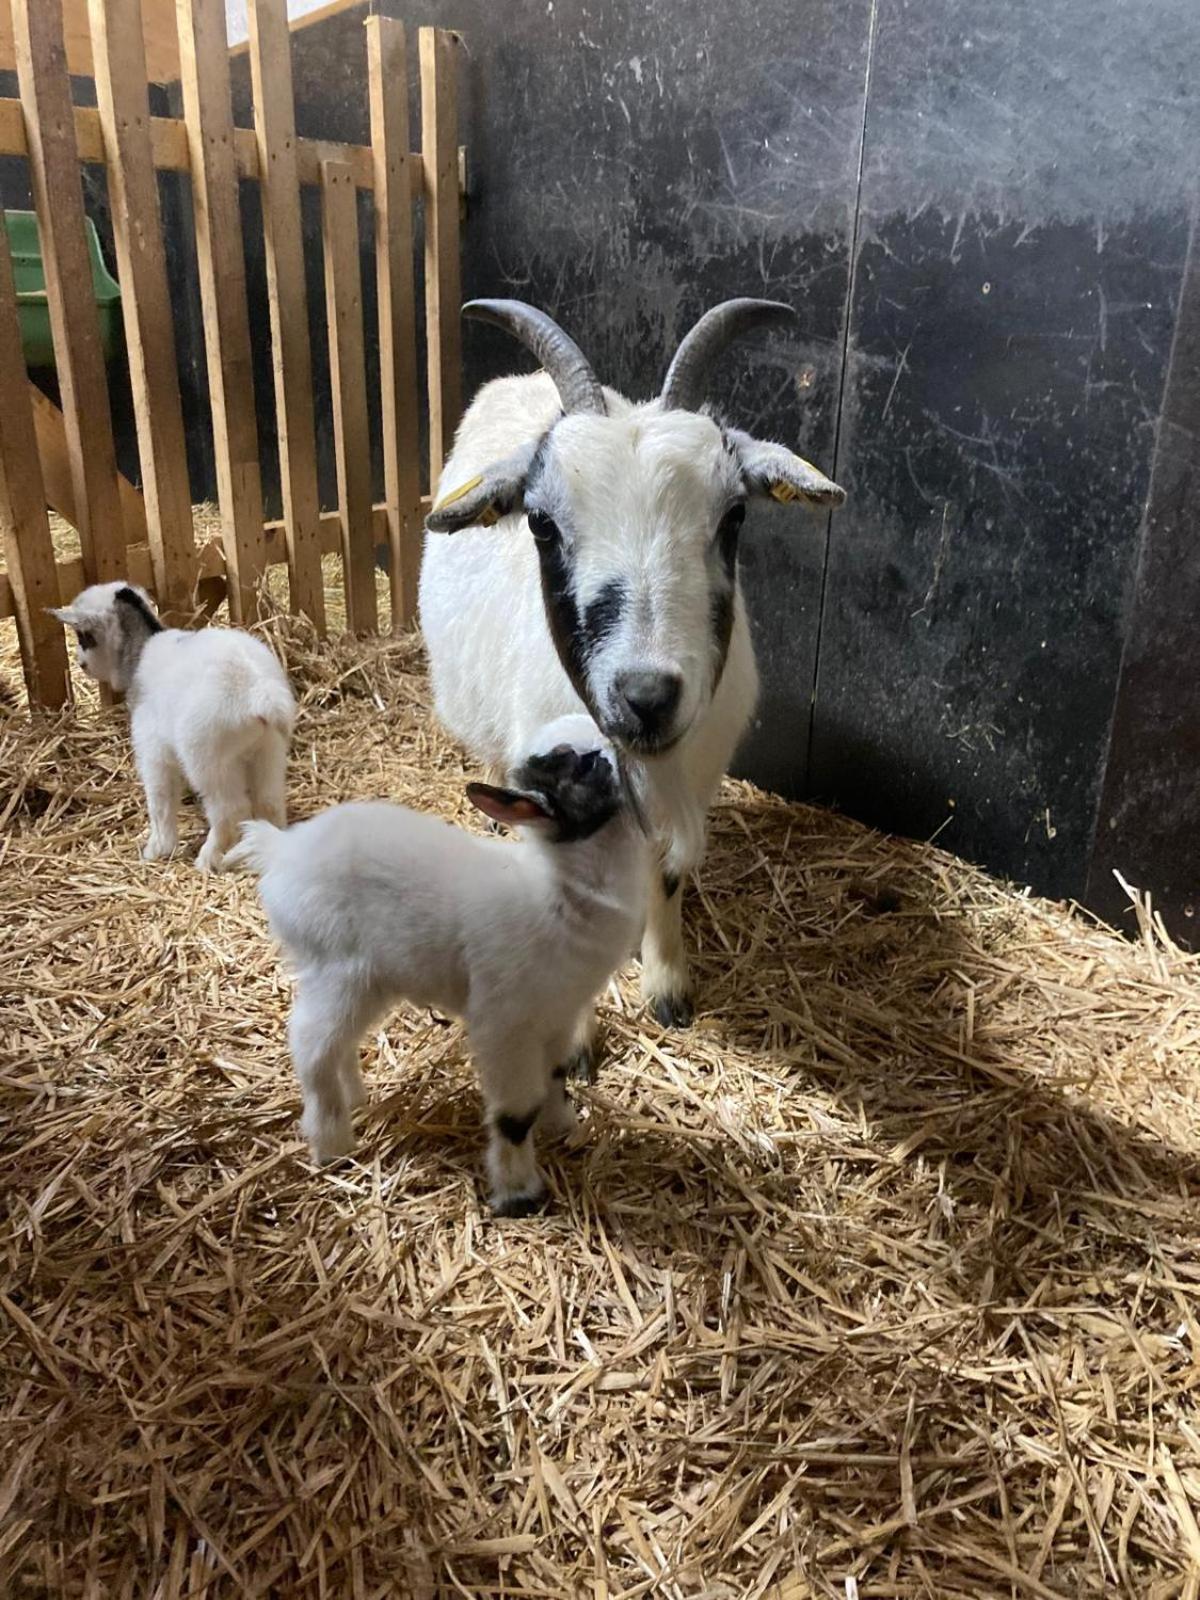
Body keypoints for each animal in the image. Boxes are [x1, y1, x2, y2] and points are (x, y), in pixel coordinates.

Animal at [422, 300, 844, 1049]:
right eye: (539, 522)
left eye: (735, 514)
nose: (646, 696)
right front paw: (572, 1037)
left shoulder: (697, 771)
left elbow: (667, 874)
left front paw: (667, 989)